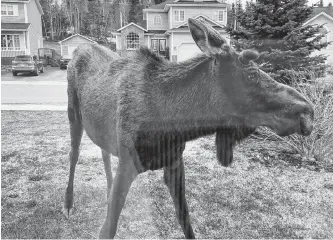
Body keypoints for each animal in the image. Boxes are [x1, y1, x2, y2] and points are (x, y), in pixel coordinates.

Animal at [63, 18, 314, 238]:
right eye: (252, 73)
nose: (307, 110)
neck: (174, 126)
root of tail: (79, 48)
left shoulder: (175, 162)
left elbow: (186, 222)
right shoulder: (128, 162)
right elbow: (107, 230)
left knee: (103, 150)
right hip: (73, 114)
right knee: (73, 154)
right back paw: (68, 203)